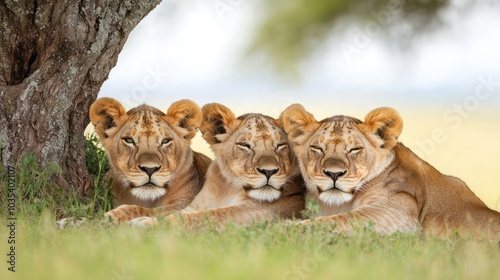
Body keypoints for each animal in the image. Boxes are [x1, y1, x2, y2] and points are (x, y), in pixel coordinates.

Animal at [127, 103, 306, 228]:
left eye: (280, 145)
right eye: (245, 145)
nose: (269, 171)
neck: (230, 187)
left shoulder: (259, 211)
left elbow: (209, 215)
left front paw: (147, 223)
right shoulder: (196, 204)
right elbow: (180, 213)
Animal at [280, 104, 500, 237]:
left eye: (355, 149)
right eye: (317, 148)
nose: (334, 174)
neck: (335, 205)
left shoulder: (396, 214)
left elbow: (336, 221)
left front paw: (283, 228)